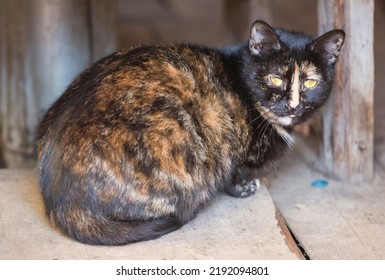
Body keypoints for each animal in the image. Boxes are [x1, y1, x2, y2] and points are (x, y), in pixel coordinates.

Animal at [35, 20, 342, 245]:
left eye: (311, 82)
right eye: (276, 79)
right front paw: (244, 187)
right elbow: (233, 170)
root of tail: (61, 203)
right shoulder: (230, 150)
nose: (293, 105)